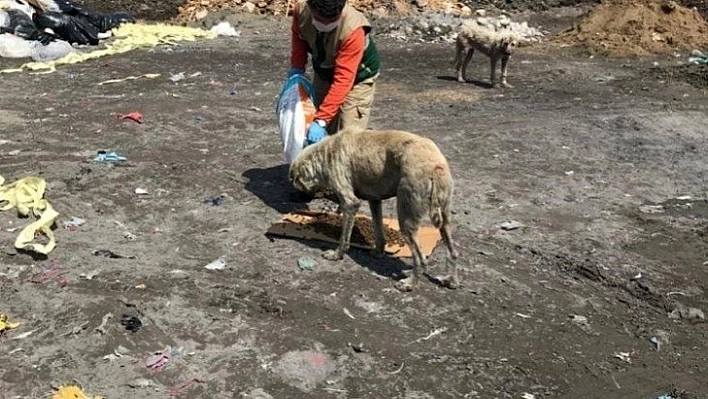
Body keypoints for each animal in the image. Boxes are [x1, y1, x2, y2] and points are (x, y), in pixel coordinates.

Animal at [288, 130, 460, 292]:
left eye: (296, 180)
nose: (295, 198)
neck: (325, 151)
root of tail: (435, 167)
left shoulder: (350, 203)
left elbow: (344, 237)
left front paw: (337, 254)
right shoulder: (375, 200)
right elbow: (378, 229)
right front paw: (378, 251)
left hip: (406, 218)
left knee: (420, 258)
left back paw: (410, 283)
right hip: (444, 218)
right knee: (453, 252)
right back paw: (451, 280)